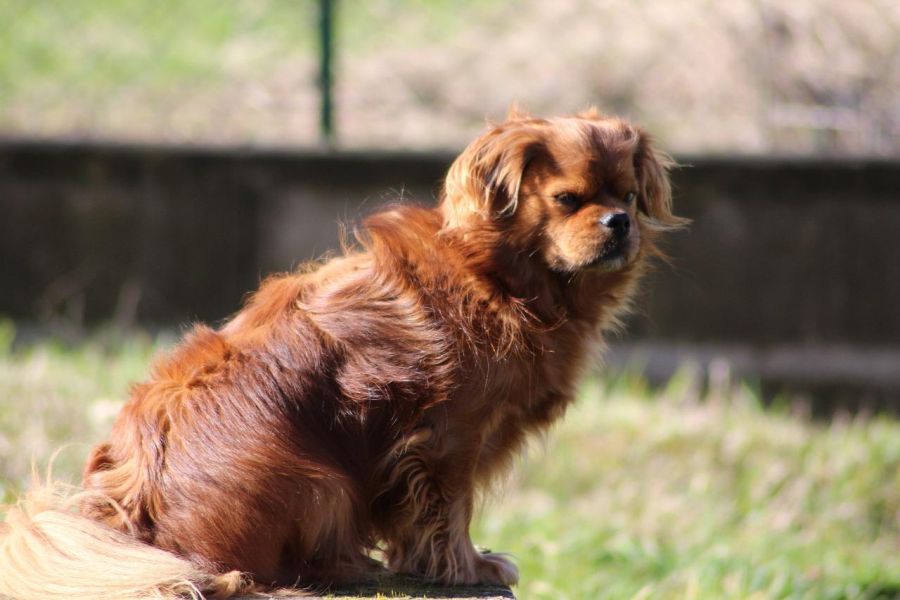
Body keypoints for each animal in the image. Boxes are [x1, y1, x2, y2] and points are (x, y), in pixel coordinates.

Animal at [0, 109, 684, 600]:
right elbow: (449, 512)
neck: (500, 277)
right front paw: (468, 568)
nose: (619, 223)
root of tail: (128, 517)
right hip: (323, 481)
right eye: (569, 200)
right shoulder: (449, 436)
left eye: (628, 195)